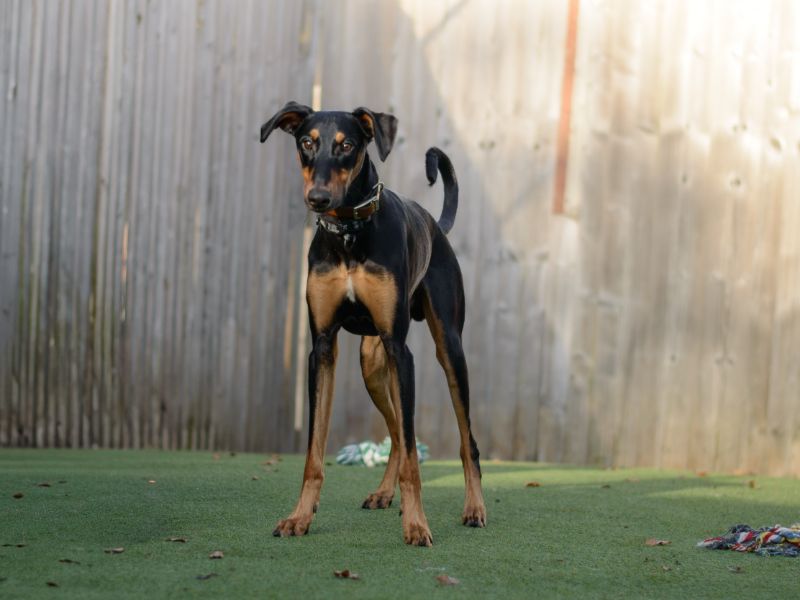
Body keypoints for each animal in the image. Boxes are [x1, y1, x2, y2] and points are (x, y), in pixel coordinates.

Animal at [260, 103, 484, 548]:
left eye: (347, 145)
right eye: (306, 142)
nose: (318, 198)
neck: (349, 234)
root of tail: (436, 226)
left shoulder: (402, 351)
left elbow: (416, 456)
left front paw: (416, 525)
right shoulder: (322, 348)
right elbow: (314, 451)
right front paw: (299, 517)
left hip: (448, 350)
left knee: (464, 440)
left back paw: (473, 508)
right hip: (372, 364)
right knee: (397, 433)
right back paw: (383, 494)